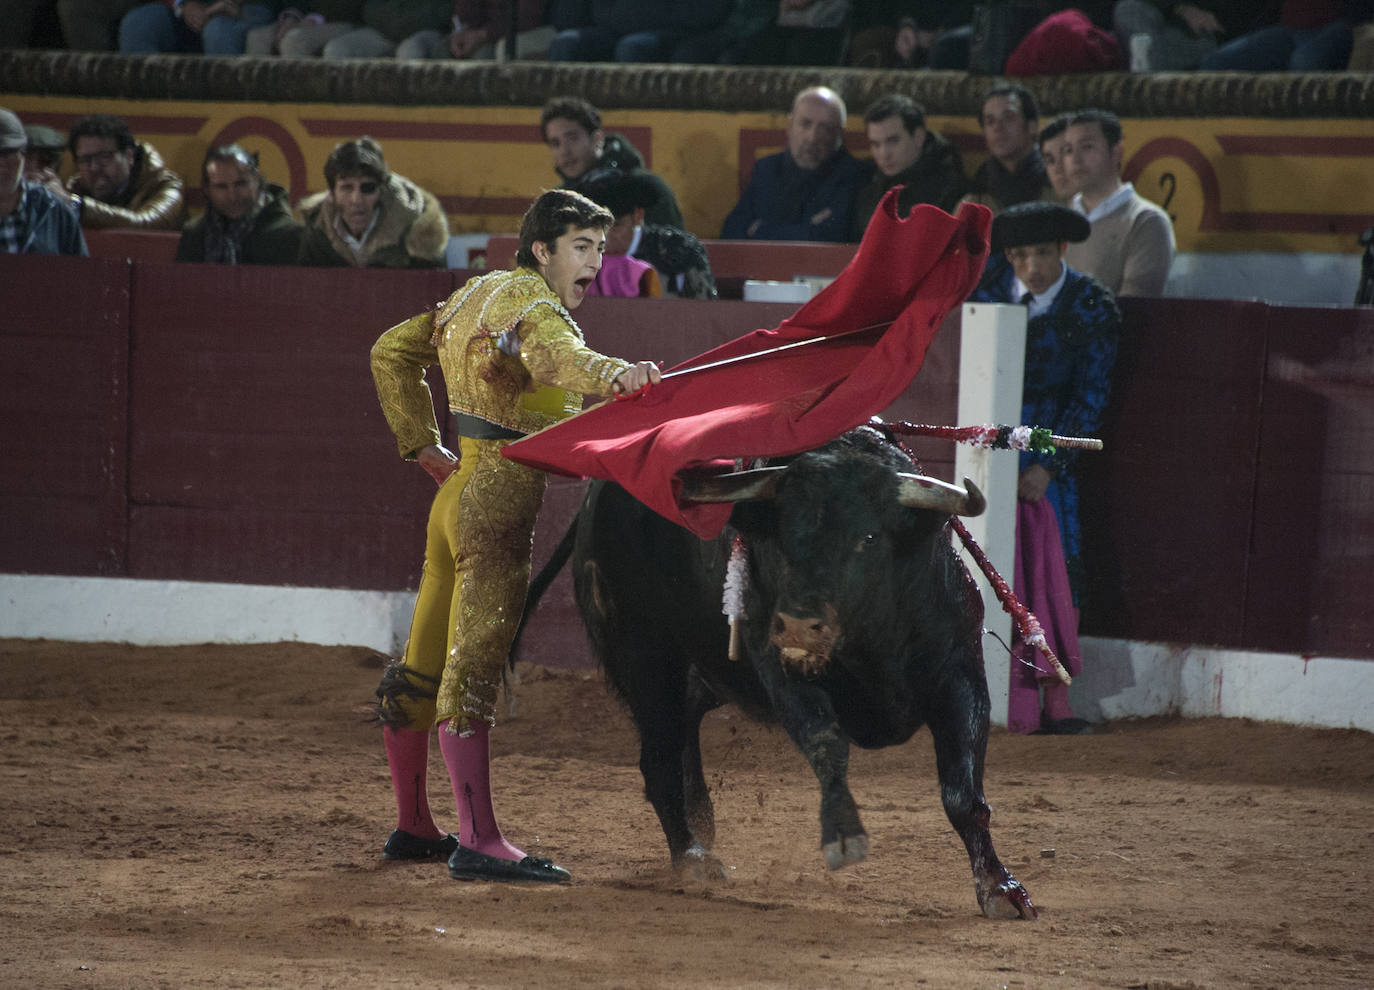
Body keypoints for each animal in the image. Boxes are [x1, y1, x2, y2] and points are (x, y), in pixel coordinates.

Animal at [519, 425, 1033, 917]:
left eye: (868, 537)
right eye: (781, 536)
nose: (799, 624)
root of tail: (596, 494)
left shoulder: (960, 674)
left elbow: (963, 792)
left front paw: (1000, 889)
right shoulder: (785, 678)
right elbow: (828, 749)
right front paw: (843, 835)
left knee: (684, 743)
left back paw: (701, 828)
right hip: (645, 659)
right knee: (659, 760)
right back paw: (693, 858)